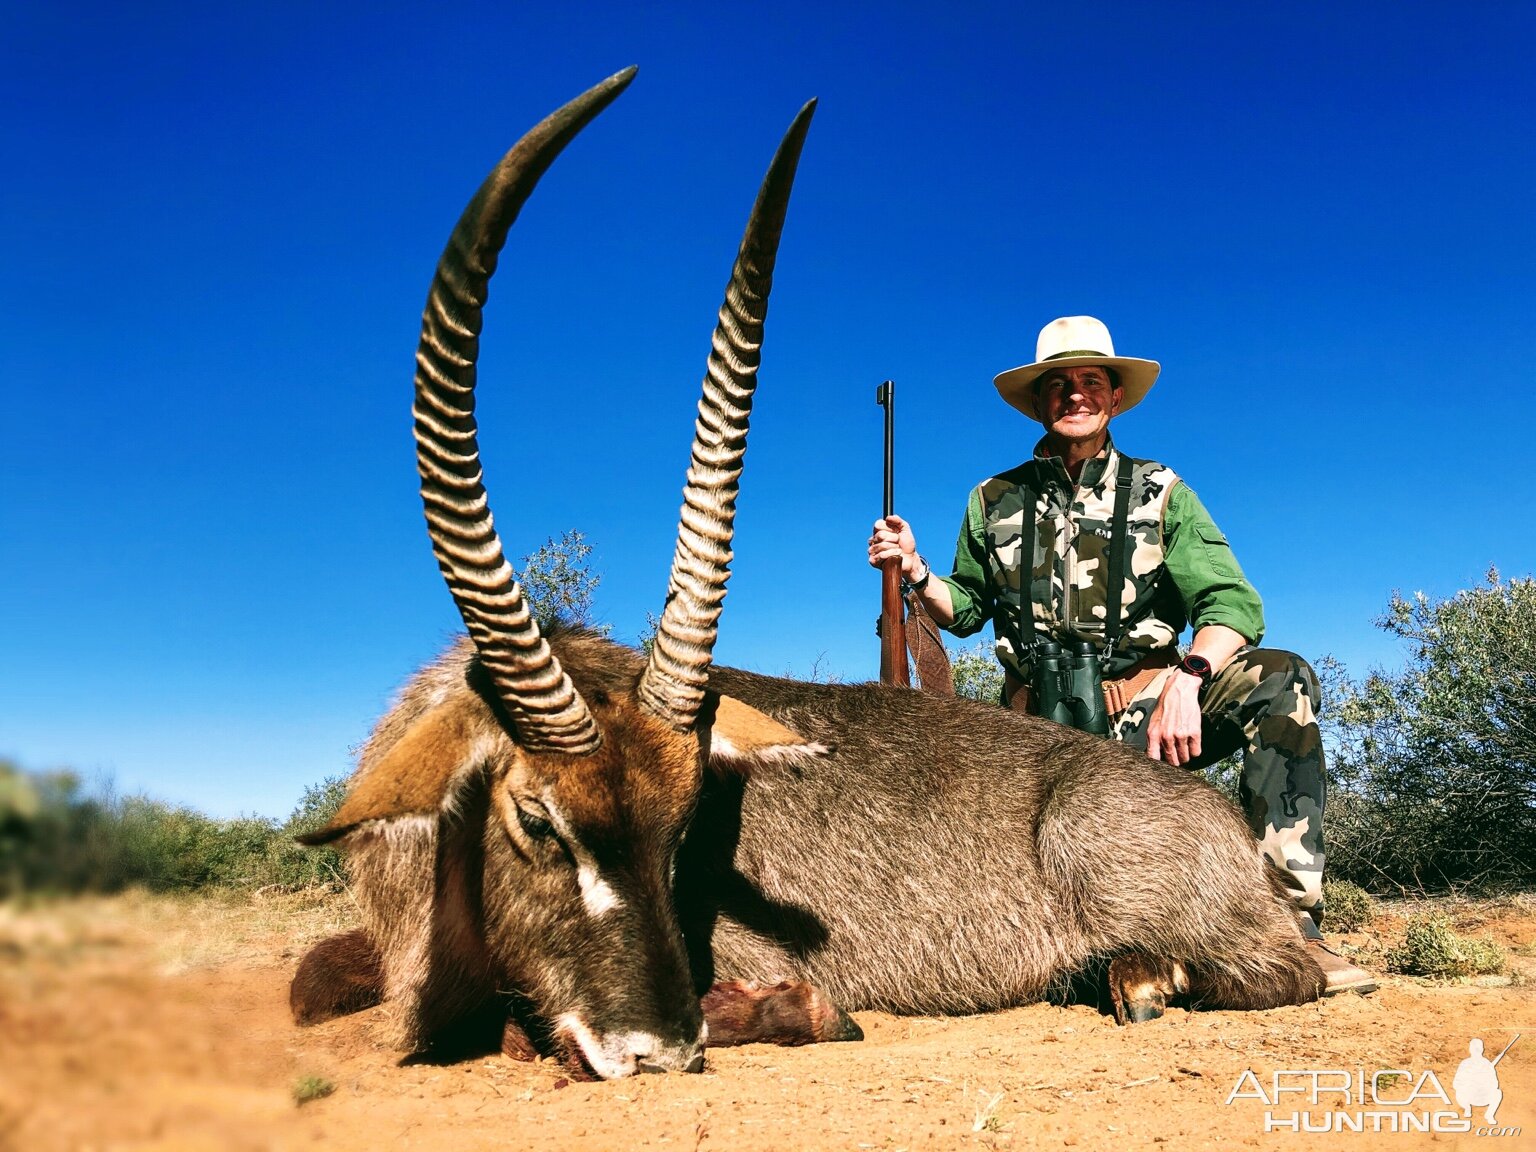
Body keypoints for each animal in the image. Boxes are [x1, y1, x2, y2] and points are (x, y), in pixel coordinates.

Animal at [293, 69, 1327, 1081]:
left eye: (683, 827)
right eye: (537, 820)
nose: (658, 1048)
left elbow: (547, 1027)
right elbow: (311, 978)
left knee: (1295, 968)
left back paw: (1147, 976)